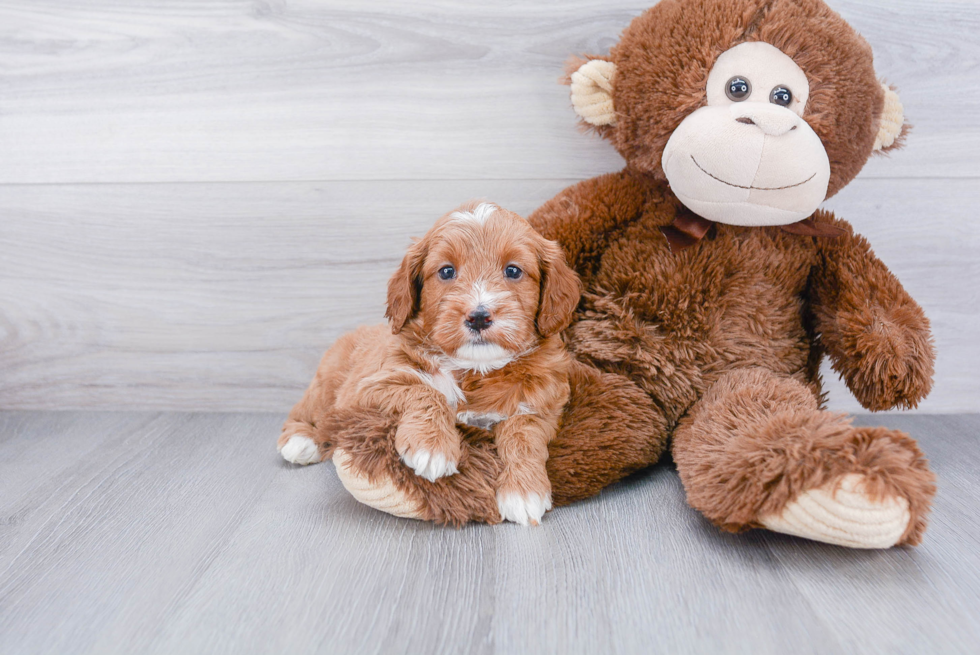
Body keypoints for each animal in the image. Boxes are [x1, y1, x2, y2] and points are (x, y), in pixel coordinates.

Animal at [278, 202, 580, 524]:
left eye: (513, 270)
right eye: (447, 271)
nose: (478, 316)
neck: (475, 369)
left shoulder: (543, 402)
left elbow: (524, 435)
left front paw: (523, 490)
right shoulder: (366, 387)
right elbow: (424, 390)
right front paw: (433, 447)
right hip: (328, 381)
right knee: (306, 410)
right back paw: (301, 440)